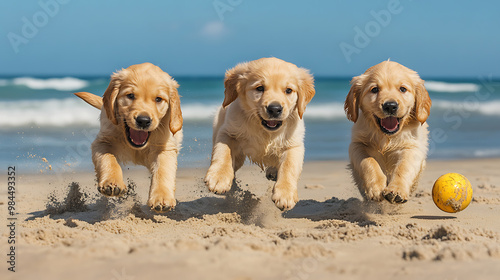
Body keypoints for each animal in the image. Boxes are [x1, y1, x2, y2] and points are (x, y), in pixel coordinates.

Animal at [73, 62, 183, 212]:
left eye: (158, 99)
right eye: (130, 96)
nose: (143, 121)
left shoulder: (165, 147)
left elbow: (163, 171)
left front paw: (162, 198)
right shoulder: (103, 141)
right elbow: (108, 159)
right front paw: (112, 182)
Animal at [204, 57, 314, 210]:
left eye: (288, 90)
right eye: (260, 88)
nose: (275, 109)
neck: (265, 131)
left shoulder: (294, 144)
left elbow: (289, 166)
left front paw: (285, 194)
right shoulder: (227, 132)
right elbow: (223, 151)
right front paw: (219, 178)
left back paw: (273, 172)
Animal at [346, 61, 432, 203]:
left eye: (403, 89)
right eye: (374, 89)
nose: (390, 106)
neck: (386, 136)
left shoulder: (412, 147)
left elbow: (403, 167)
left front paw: (396, 190)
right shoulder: (357, 144)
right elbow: (369, 163)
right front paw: (376, 189)